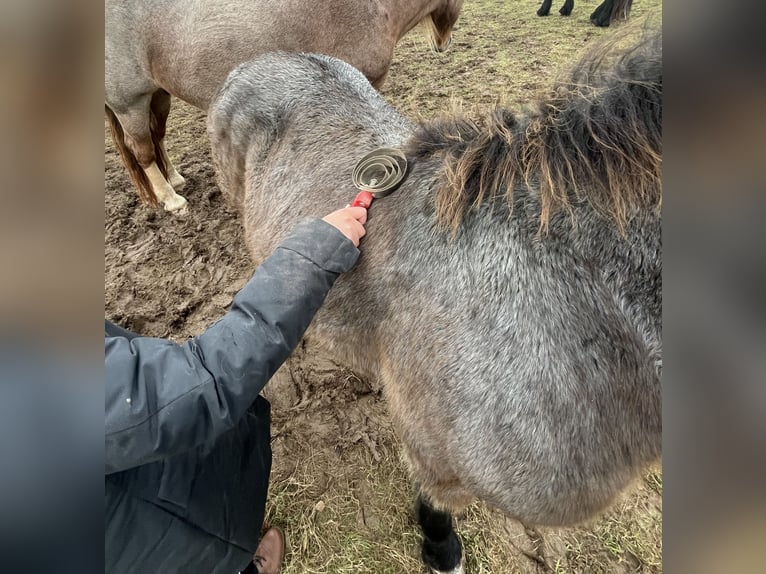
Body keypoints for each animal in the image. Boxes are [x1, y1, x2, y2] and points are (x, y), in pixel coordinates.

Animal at [104, 0, 464, 213]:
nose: (443, 43)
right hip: (130, 104)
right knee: (142, 151)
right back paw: (170, 199)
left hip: (158, 95)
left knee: (157, 138)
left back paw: (175, 179)